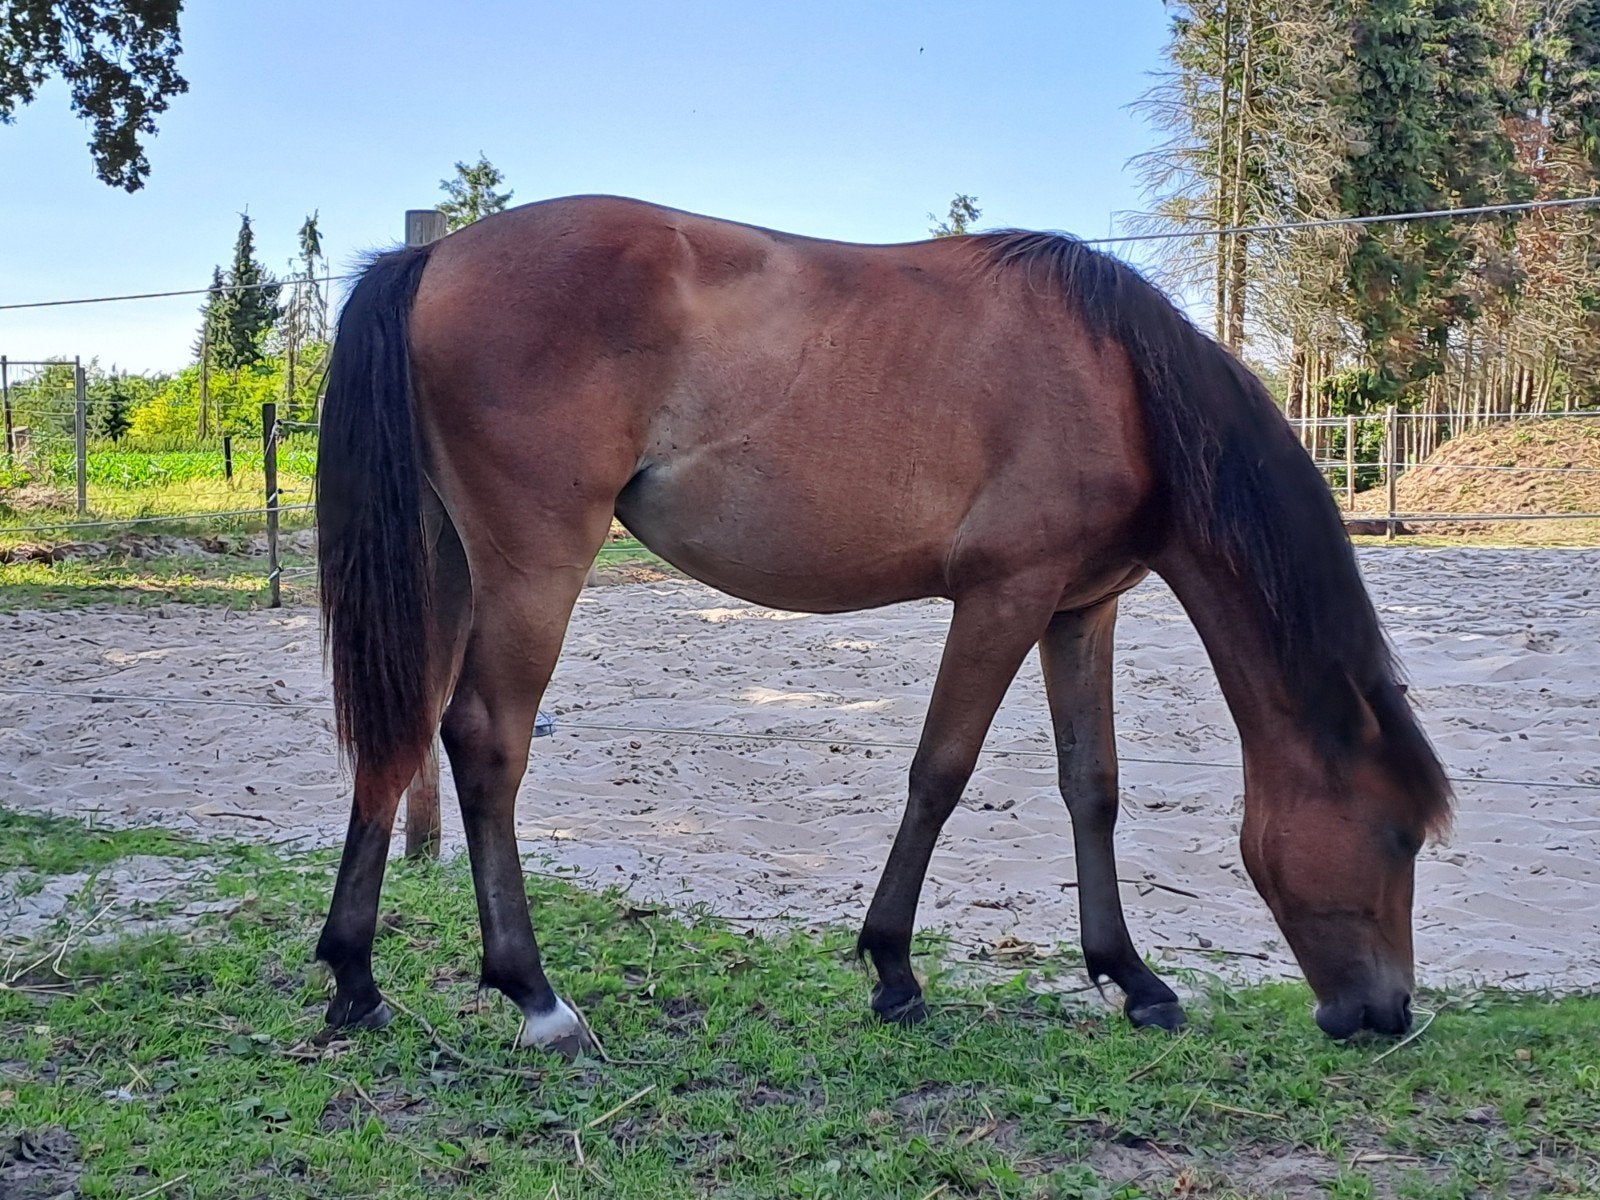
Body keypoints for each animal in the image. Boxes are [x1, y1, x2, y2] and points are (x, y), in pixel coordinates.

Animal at [313, 195, 1451, 1055]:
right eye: (1396, 833)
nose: (1385, 1014)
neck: (1121, 381)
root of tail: (433, 257)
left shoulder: (1080, 609)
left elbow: (1093, 787)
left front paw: (1131, 978)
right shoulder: (1004, 596)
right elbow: (939, 772)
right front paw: (895, 970)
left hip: (445, 562)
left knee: (399, 732)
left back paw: (356, 980)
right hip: (534, 565)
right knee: (484, 741)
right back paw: (536, 997)